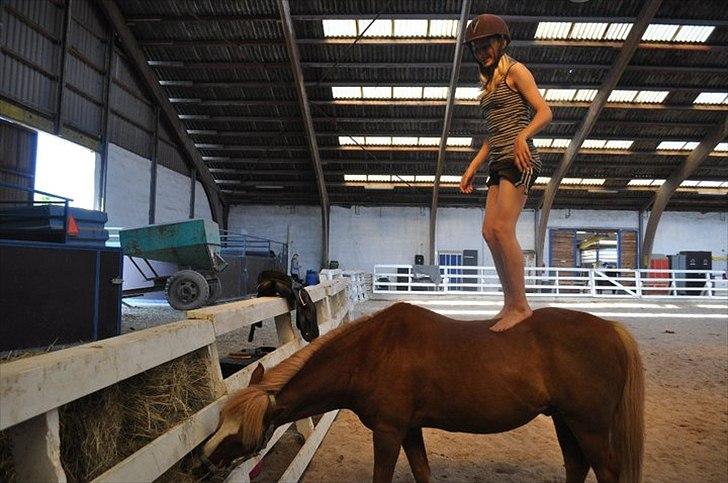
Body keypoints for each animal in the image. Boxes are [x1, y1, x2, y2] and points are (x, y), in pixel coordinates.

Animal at [202, 303, 644, 483]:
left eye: (240, 431)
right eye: (221, 418)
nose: (205, 458)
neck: (372, 353)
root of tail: (611, 330)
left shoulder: (388, 432)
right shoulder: (409, 430)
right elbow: (423, 473)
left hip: (588, 426)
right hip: (566, 422)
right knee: (576, 466)